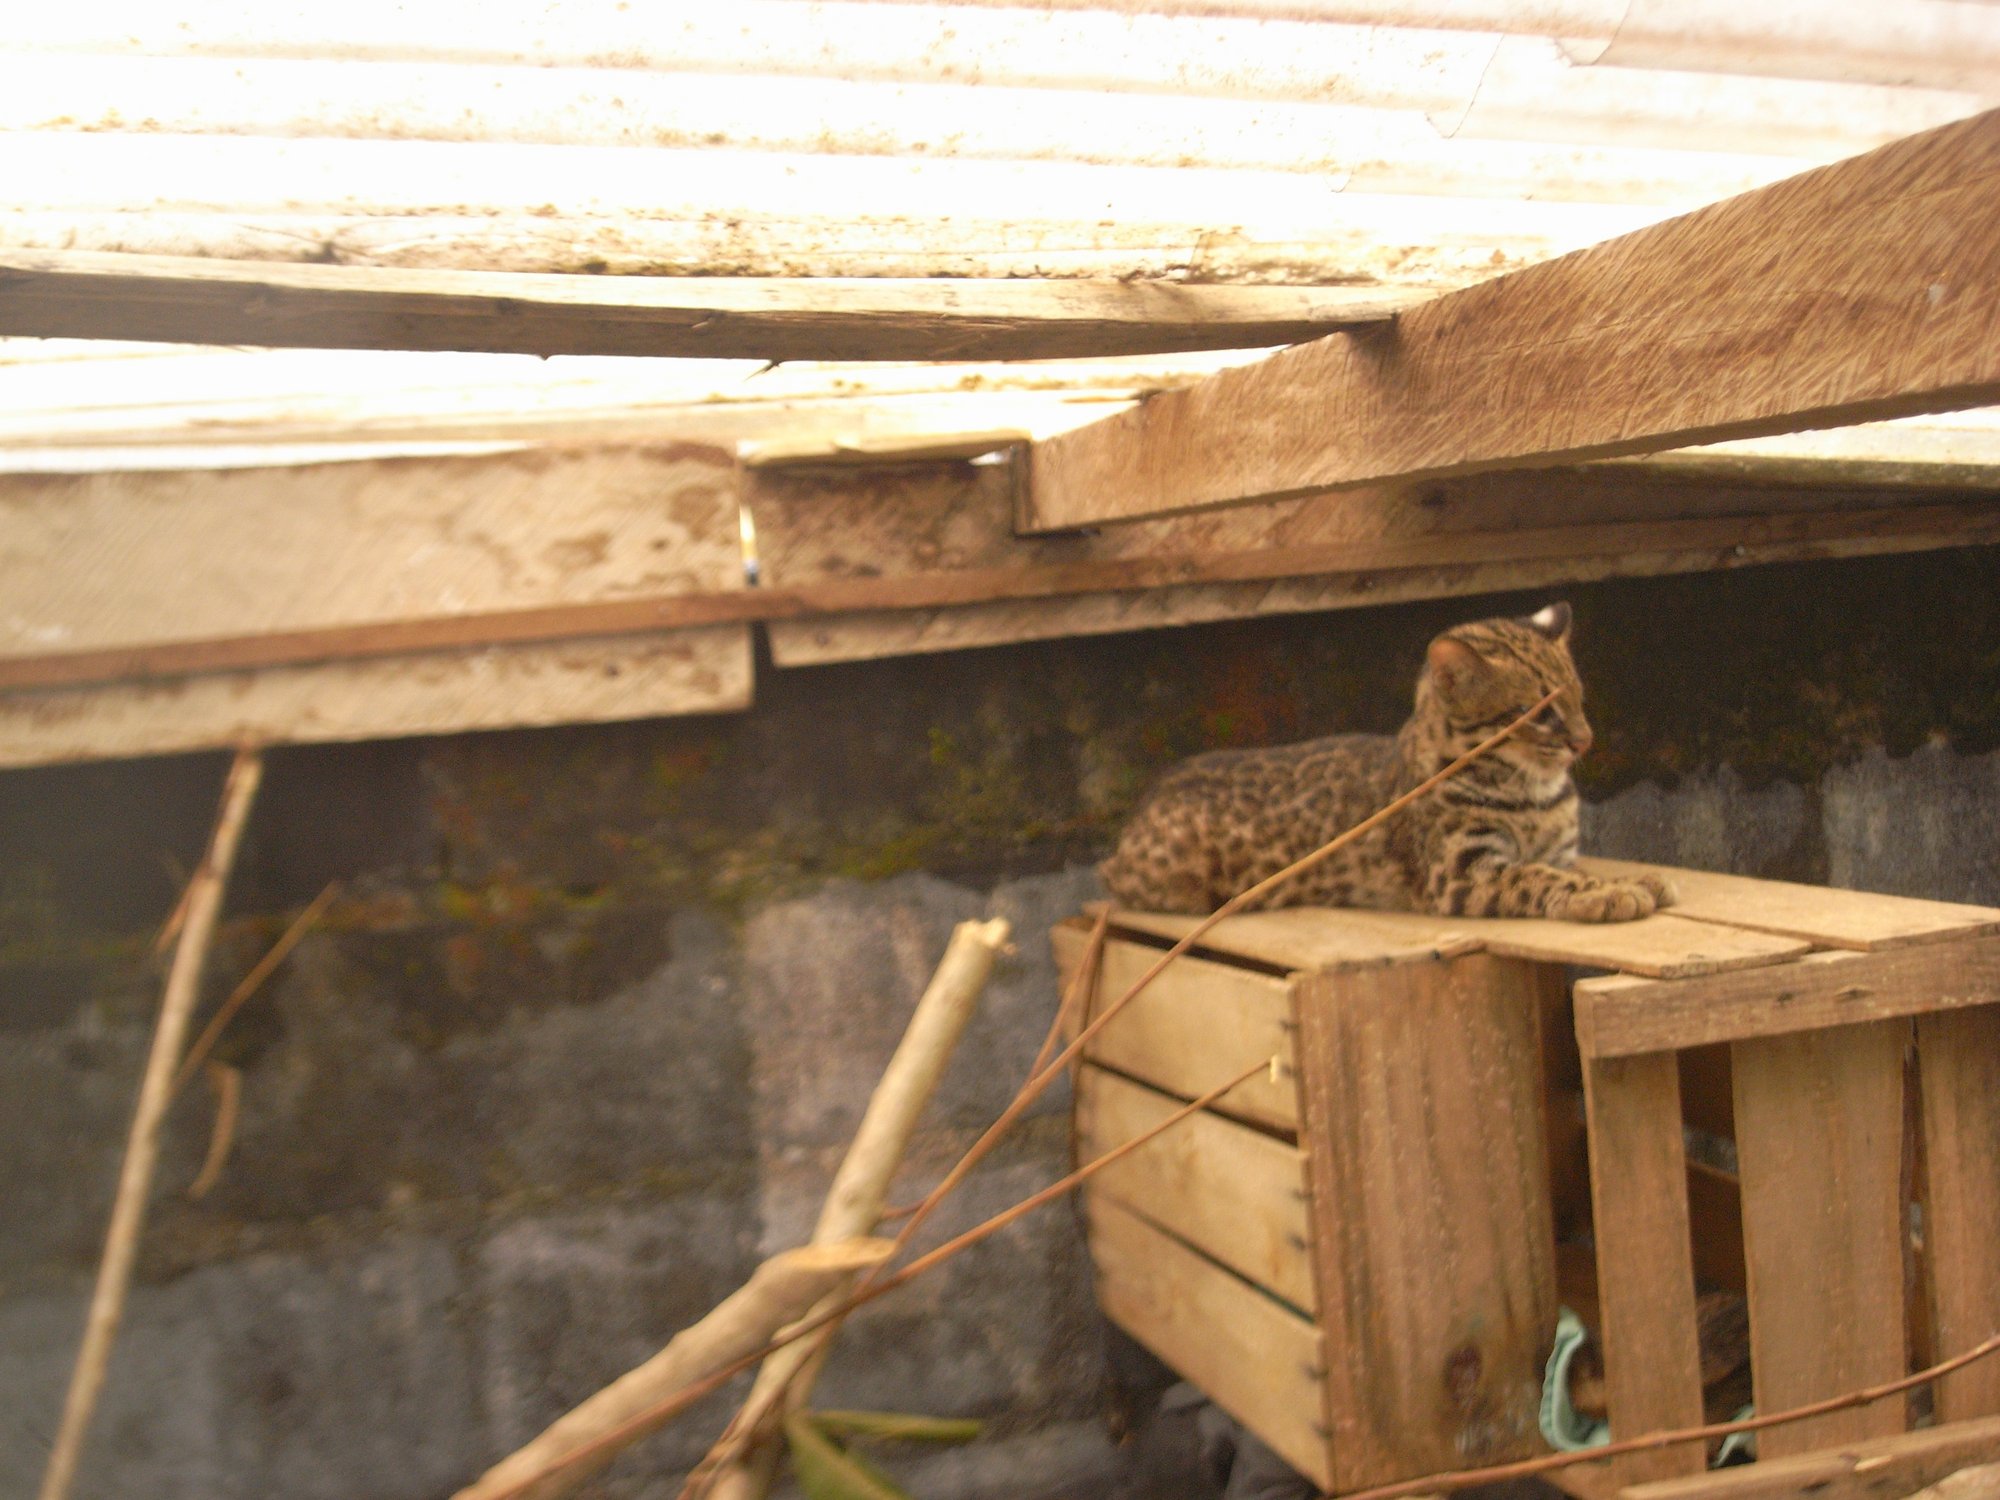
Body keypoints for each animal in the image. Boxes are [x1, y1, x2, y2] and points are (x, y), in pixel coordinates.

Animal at [1096, 604, 1672, 924]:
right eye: (1541, 713)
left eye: (1579, 699)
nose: (1585, 741)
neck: (1535, 789)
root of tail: (1147, 798)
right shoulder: (1460, 872)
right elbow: (1539, 878)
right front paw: (1613, 894)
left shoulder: (1560, 853)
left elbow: (1572, 869)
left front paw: (1639, 879)